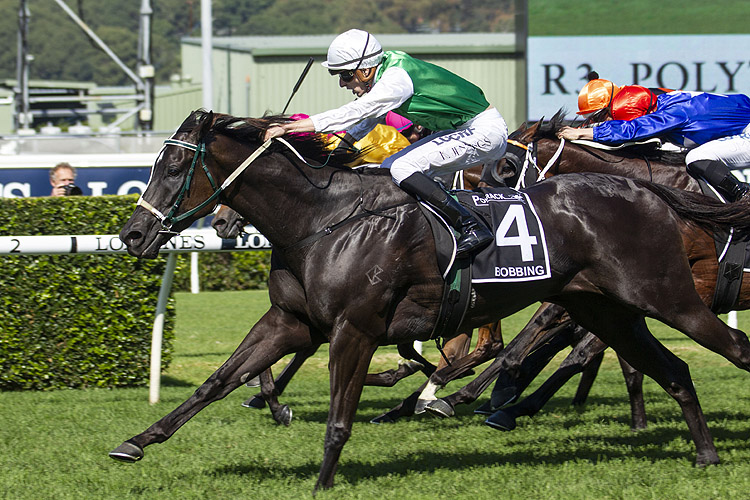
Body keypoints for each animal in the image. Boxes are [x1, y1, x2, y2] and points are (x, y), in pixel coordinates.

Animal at [113, 110, 750, 492]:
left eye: (174, 164)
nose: (132, 235)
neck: (323, 220)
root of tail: (641, 187)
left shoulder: (356, 326)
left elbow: (340, 416)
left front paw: (324, 479)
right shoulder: (291, 320)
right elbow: (217, 382)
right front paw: (137, 442)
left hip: (668, 296)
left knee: (733, 346)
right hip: (607, 308)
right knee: (672, 369)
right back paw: (704, 455)